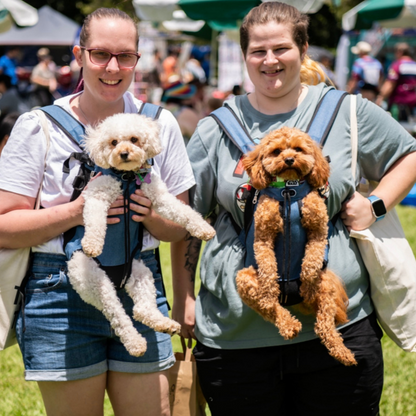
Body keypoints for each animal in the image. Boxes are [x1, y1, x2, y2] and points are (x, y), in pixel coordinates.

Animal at [66, 112, 216, 356]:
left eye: (134, 139)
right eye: (113, 142)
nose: (124, 153)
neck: (127, 179)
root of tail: (117, 280)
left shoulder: (158, 197)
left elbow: (183, 211)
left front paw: (203, 229)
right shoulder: (97, 195)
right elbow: (95, 220)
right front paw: (92, 244)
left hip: (140, 273)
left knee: (141, 310)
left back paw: (165, 324)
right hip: (93, 280)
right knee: (118, 315)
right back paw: (135, 343)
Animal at [236, 125, 356, 366]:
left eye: (299, 149)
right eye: (276, 151)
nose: (289, 159)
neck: (287, 191)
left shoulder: (318, 231)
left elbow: (311, 261)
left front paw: (307, 284)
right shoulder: (263, 237)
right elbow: (268, 267)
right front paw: (269, 289)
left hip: (326, 283)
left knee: (324, 324)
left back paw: (343, 352)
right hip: (244, 278)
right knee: (271, 308)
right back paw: (289, 325)